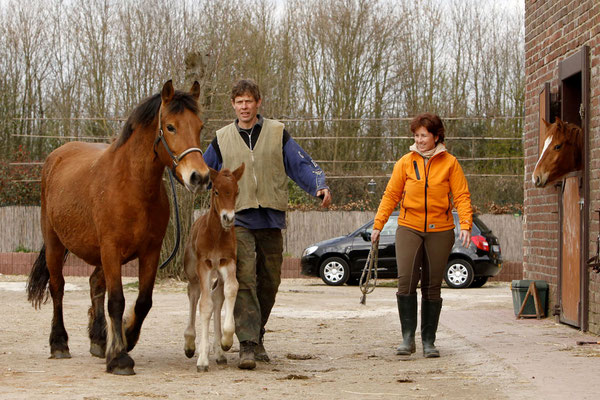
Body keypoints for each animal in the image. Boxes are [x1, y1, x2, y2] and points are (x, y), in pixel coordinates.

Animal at [183, 163, 244, 372]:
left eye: (236, 191)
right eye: (216, 191)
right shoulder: (205, 265)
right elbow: (204, 305)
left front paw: (226, 341)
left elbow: (232, 289)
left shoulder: (228, 261)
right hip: (193, 272)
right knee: (194, 294)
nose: (228, 218)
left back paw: (219, 352)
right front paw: (202, 359)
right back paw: (190, 344)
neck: (216, 236)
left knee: (218, 297)